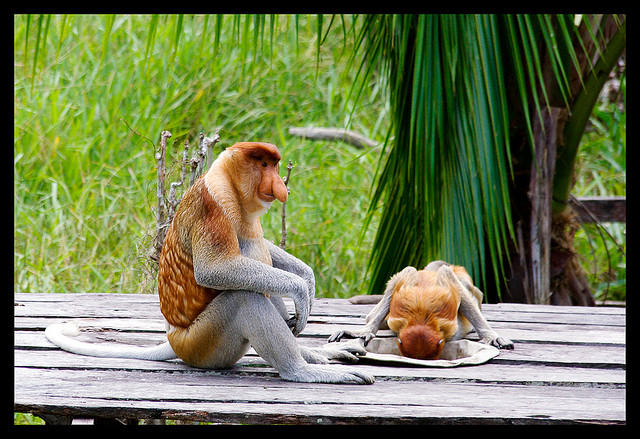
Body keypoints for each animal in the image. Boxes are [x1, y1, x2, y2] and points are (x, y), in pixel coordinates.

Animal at [45, 142, 372, 384]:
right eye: (264, 165)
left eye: (275, 164)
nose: (280, 185)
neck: (228, 180)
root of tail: (173, 336)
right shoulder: (214, 204)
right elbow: (215, 269)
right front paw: (302, 289)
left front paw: (307, 277)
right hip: (203, 343)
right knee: (245, 297)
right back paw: (304, 370)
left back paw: (315, 354)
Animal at [330, 262, 516, 360]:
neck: (421, 319)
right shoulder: (396, 319)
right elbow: (406, 274)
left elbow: (448, 277)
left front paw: (491, 337)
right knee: (409, 272)